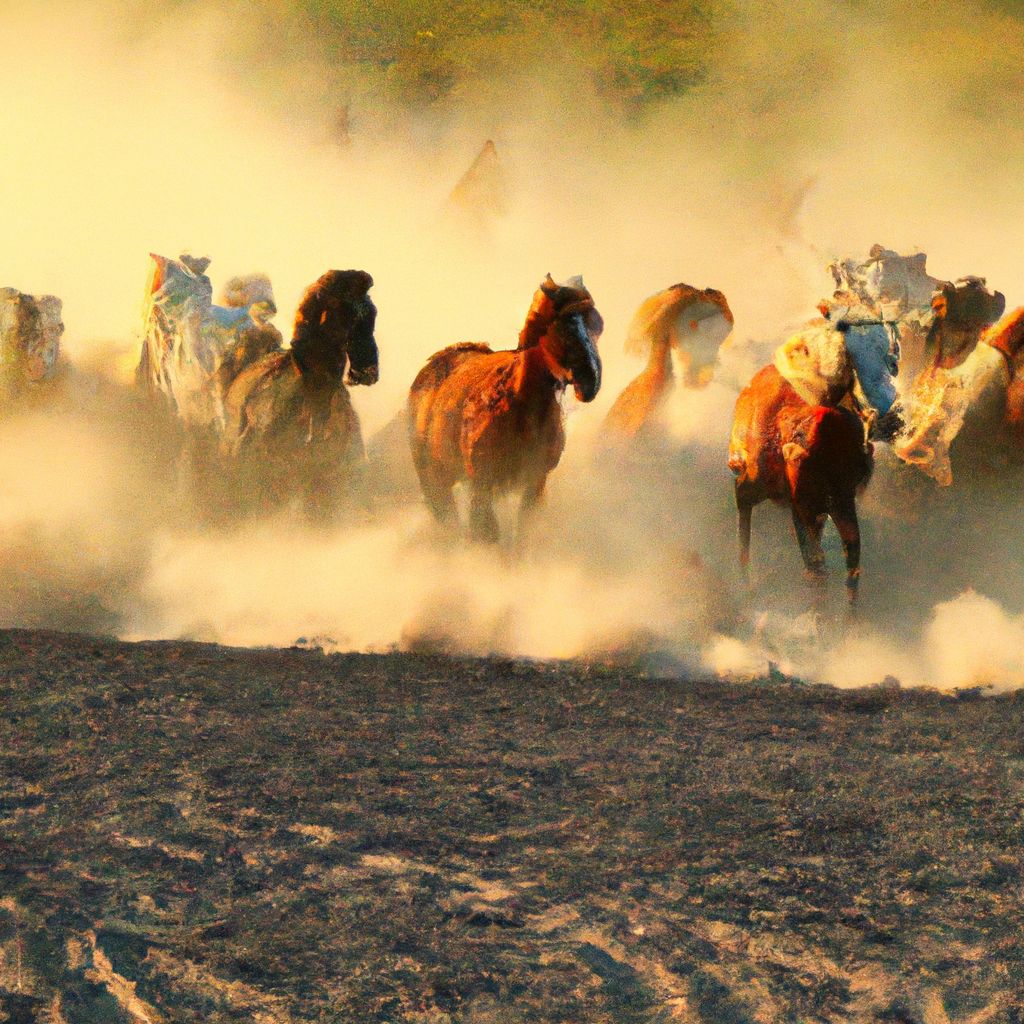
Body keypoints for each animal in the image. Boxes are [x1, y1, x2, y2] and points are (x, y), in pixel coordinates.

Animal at [405, 272, 598, 544]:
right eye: (564, 327)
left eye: (594, 325)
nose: (590, 382)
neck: (521, 410)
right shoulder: (483, 484)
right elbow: (488, 535)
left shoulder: (535, 482)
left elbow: (522, 533)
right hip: (435, 479)